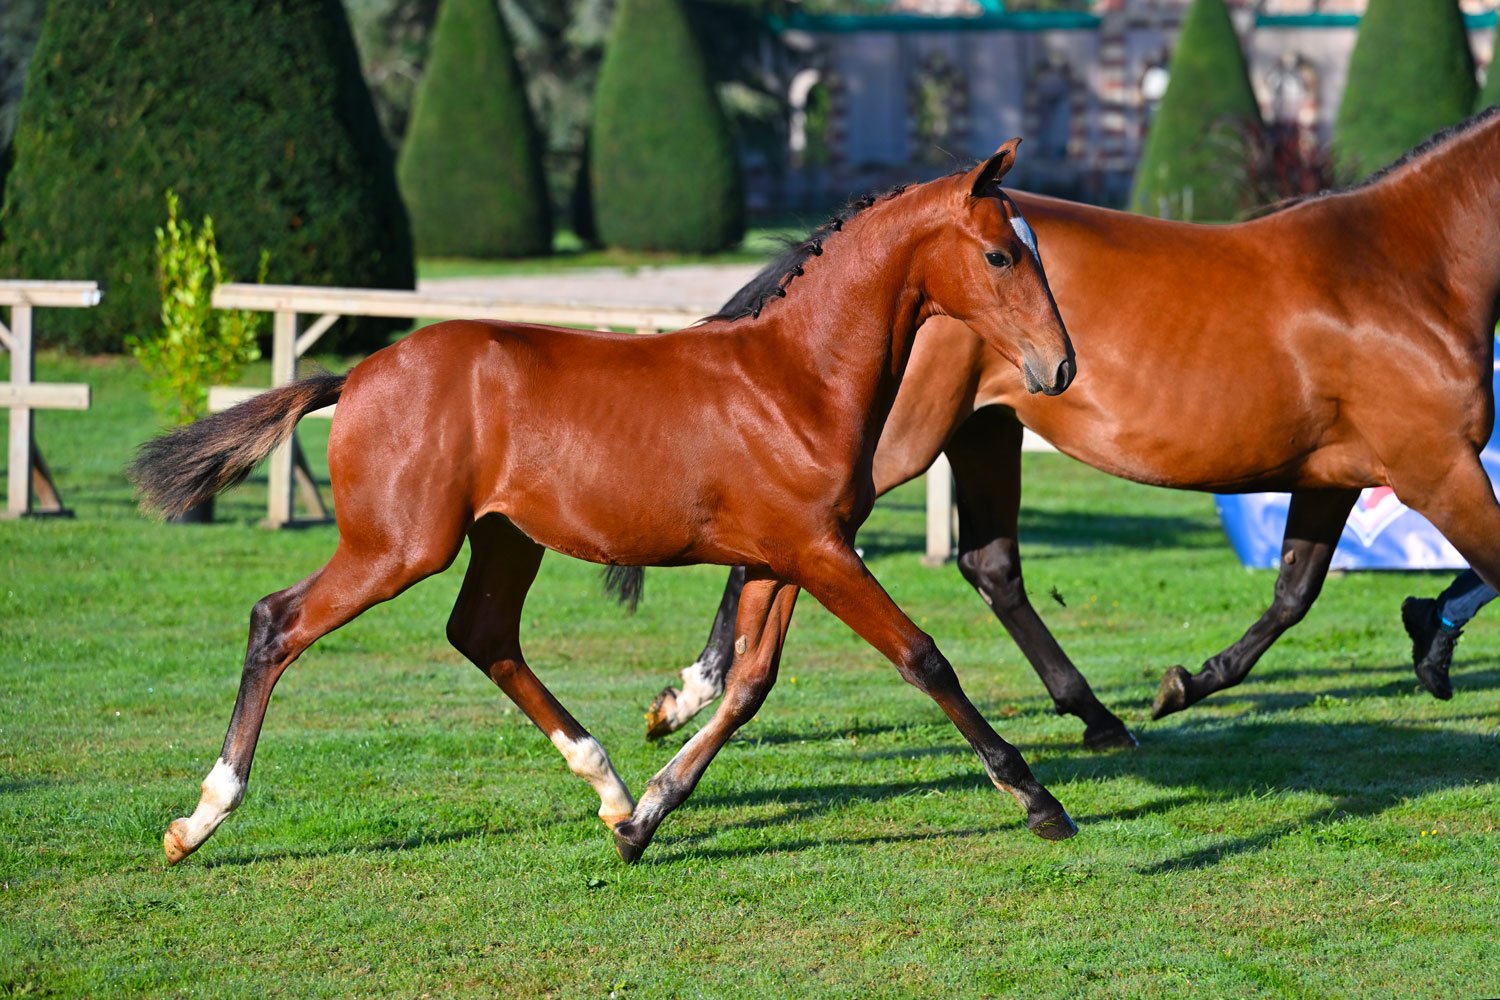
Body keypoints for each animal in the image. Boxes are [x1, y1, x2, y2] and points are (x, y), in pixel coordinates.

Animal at [131, 140, 1080, 866]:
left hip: (504, 540)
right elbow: (923, 658)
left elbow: (747, 687)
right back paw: (199, 819)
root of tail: (357, 375)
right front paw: (1037, 799)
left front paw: (646, 819)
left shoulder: (786, 558)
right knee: (278, 620)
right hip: (398, 547)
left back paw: (609, 785)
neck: (795, 379)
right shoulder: (819, 552)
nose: (1060, 368)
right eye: (1001, 255)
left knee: (482, 635)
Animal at [643, 107, 1500, 750]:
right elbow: (1490, 566)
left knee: (991, 567)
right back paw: (692, 693)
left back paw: (1096, 714)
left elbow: (1294, 593)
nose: (1063, 362)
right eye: (1001, 258)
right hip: (899, 445)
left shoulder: (1337, 474)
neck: (1403, 269)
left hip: (985, 431)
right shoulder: (1435, 467)